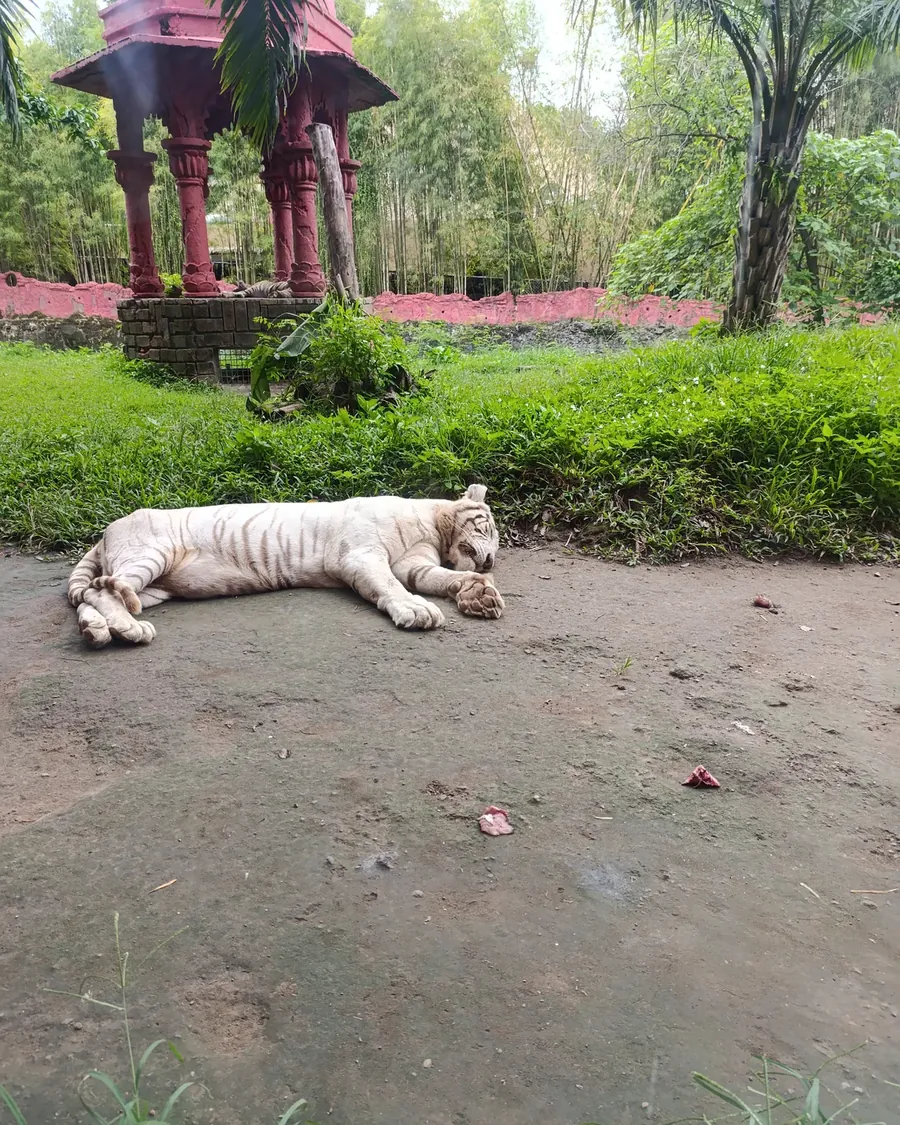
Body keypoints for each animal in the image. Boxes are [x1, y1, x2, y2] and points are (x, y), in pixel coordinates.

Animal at [67, 485, 504, 648]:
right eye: (488, 527)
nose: (491, 560)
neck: (434, 527)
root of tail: (107, 532)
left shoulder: (414, 564)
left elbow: (443, 577)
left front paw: (479, 592)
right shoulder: (362, 555)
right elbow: (392, 587)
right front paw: (416, 609)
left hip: (153, 588)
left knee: (90, 596)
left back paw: (97, 631)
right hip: (149, 556)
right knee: (101, 590)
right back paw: (128, 629)